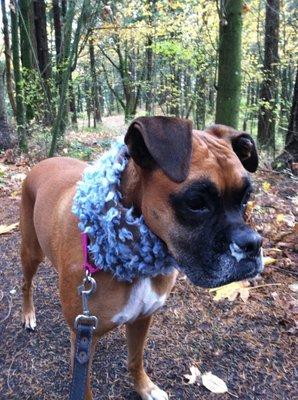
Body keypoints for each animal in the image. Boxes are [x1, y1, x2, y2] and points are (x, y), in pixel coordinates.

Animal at [20, 116, 264, 400]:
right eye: (195, 202)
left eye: (246, 197)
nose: (253, 243)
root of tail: (43, 162)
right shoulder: (82, 339)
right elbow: (86, 387)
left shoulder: (141, 319)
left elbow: (135, 358)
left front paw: (145, 388)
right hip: (31, 252)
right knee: (26, 283)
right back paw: (28, 314)